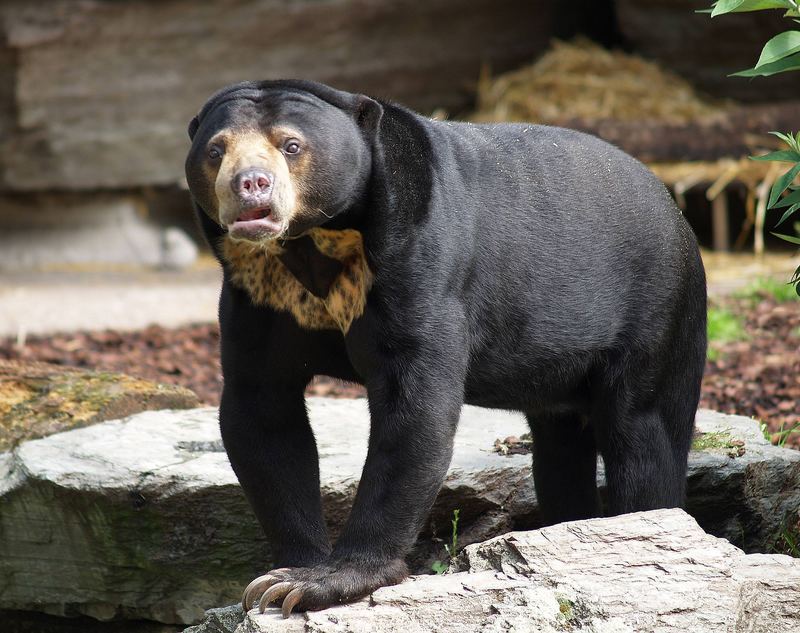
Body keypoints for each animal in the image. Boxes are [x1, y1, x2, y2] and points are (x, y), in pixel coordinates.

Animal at [186, 79, 708, 616]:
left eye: (291, 145)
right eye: (216, 150)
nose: (250, 184)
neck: (311, 247)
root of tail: (674, 210)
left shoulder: (422, 268)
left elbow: (415, 414)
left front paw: (326, 581)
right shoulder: (255, 297)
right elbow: (262, 412)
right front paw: (282, 576)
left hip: (658, 316)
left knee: (643, 437)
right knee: (560, 450)